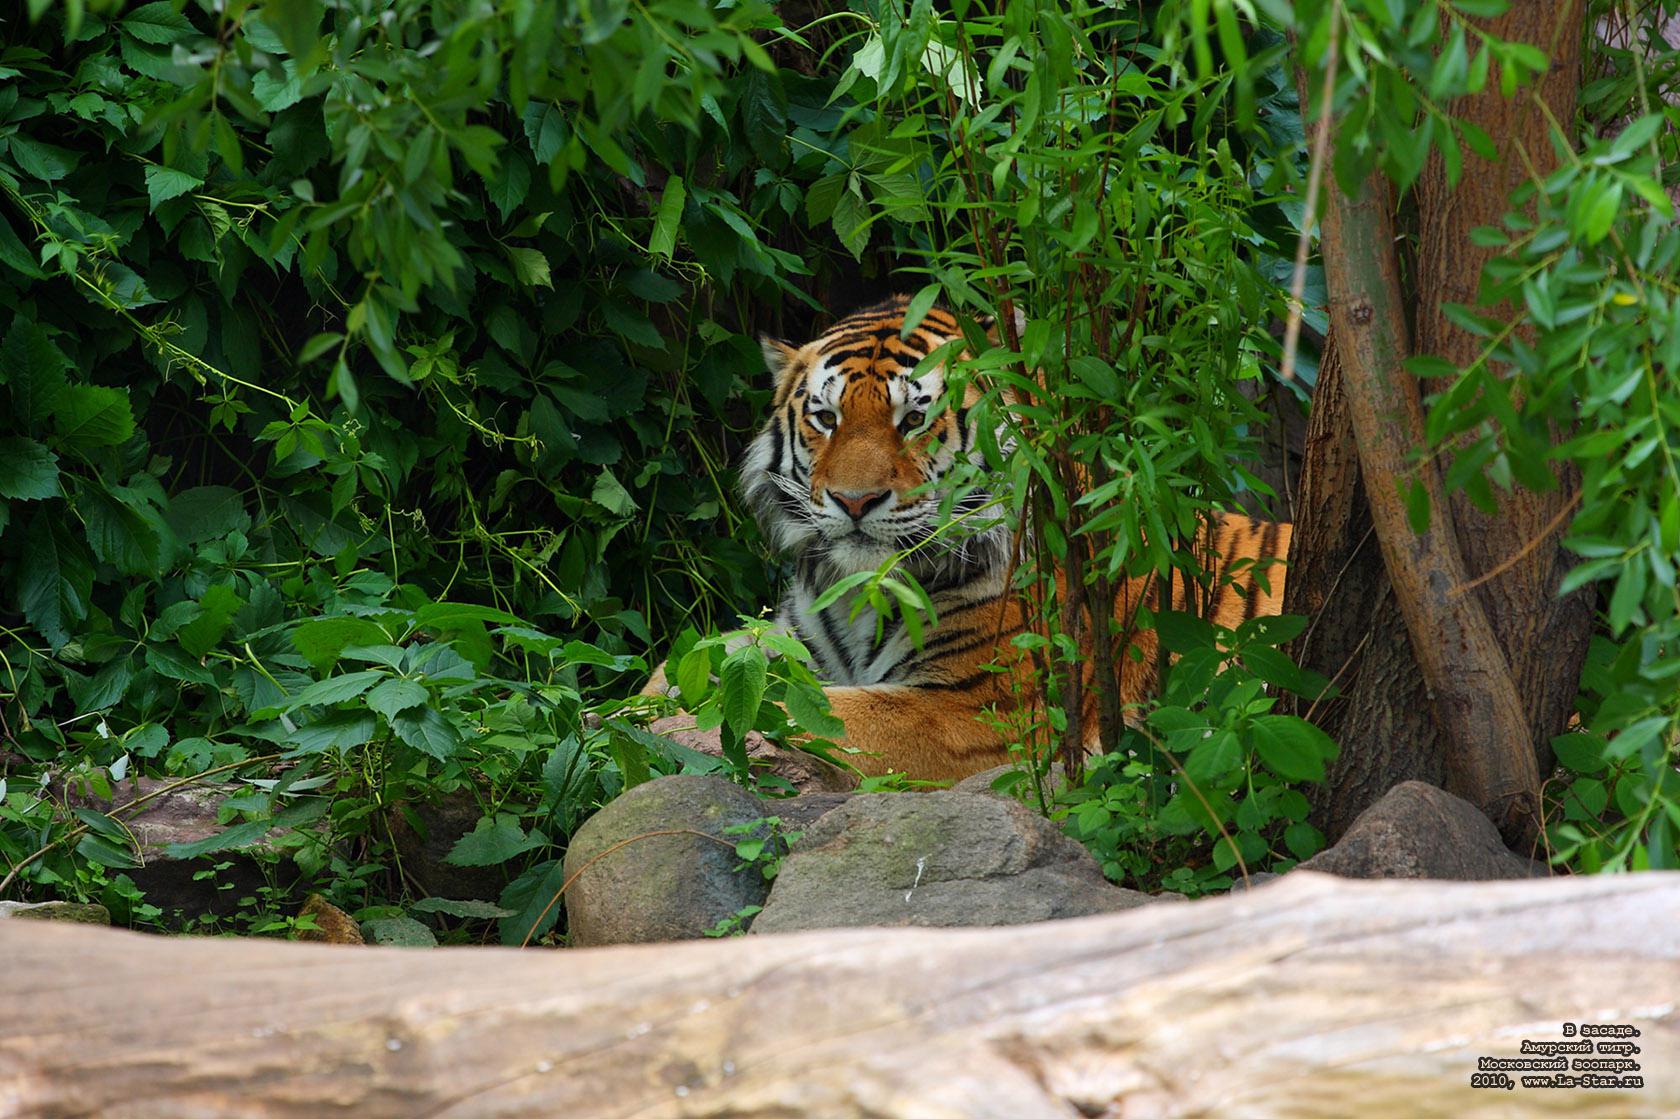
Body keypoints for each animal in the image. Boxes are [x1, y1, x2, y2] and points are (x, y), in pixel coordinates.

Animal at [666, 294, 1292, 781]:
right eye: (826, 418)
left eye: (914, 420)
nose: (854, 501)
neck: (858, 593)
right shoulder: (789, 641)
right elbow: (698, 666)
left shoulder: (972, 711)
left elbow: (787, 709)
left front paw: (667, 729)